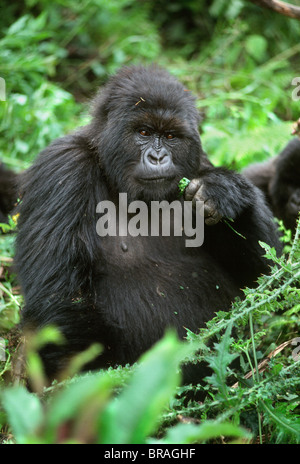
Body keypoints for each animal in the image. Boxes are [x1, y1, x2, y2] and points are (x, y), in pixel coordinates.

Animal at [14, 67, 282, 382]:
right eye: (143, 132)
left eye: (170, 136)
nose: (157, 157)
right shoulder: (62, 167)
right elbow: (61, 296)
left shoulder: (198, 164)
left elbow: (263, 275)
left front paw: (225, 191)